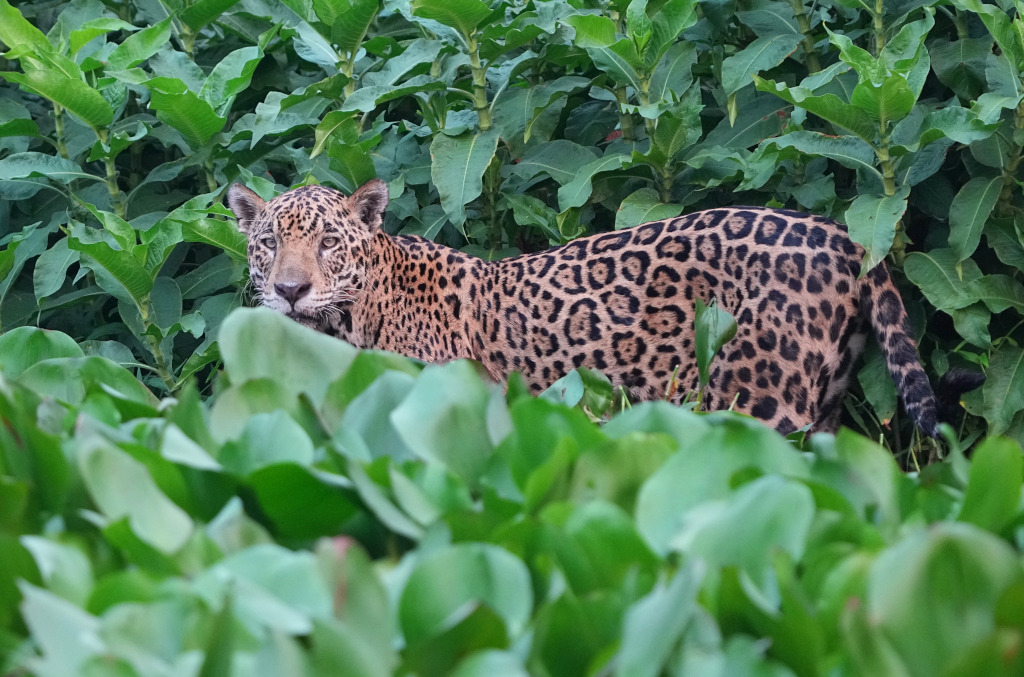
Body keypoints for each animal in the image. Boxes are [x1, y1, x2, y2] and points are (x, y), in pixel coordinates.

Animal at [227, 178, 981, 437]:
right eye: (269, 243)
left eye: (327, 243)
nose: (289, 290)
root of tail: (842, 234)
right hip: (820, 406)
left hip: (762, 404)